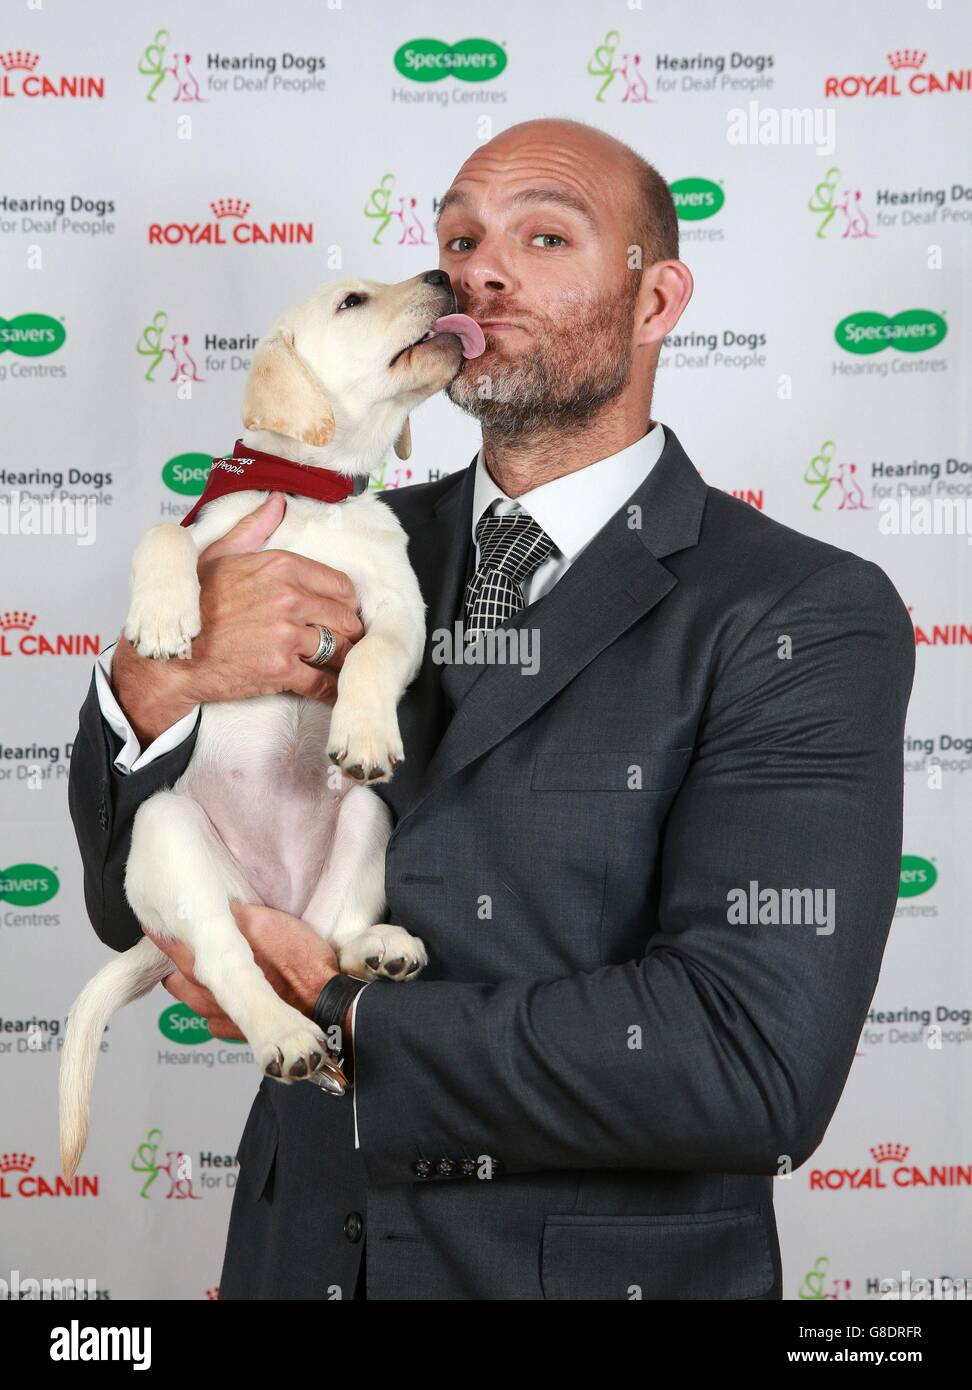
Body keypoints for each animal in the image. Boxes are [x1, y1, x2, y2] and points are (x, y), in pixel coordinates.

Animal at [59, 273, 483, 1184]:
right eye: (355, 300)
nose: (443, 277)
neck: (320, 497)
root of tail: (268, 895)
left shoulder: (397, 615)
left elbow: (370, 660)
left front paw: (364, 731)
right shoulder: (211, 534)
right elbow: (164, 532)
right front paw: (163, 618)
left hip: (364, 824)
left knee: (328, 937)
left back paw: (378, 949)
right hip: (166, 829)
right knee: (229, 958)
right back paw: (285, 1033)